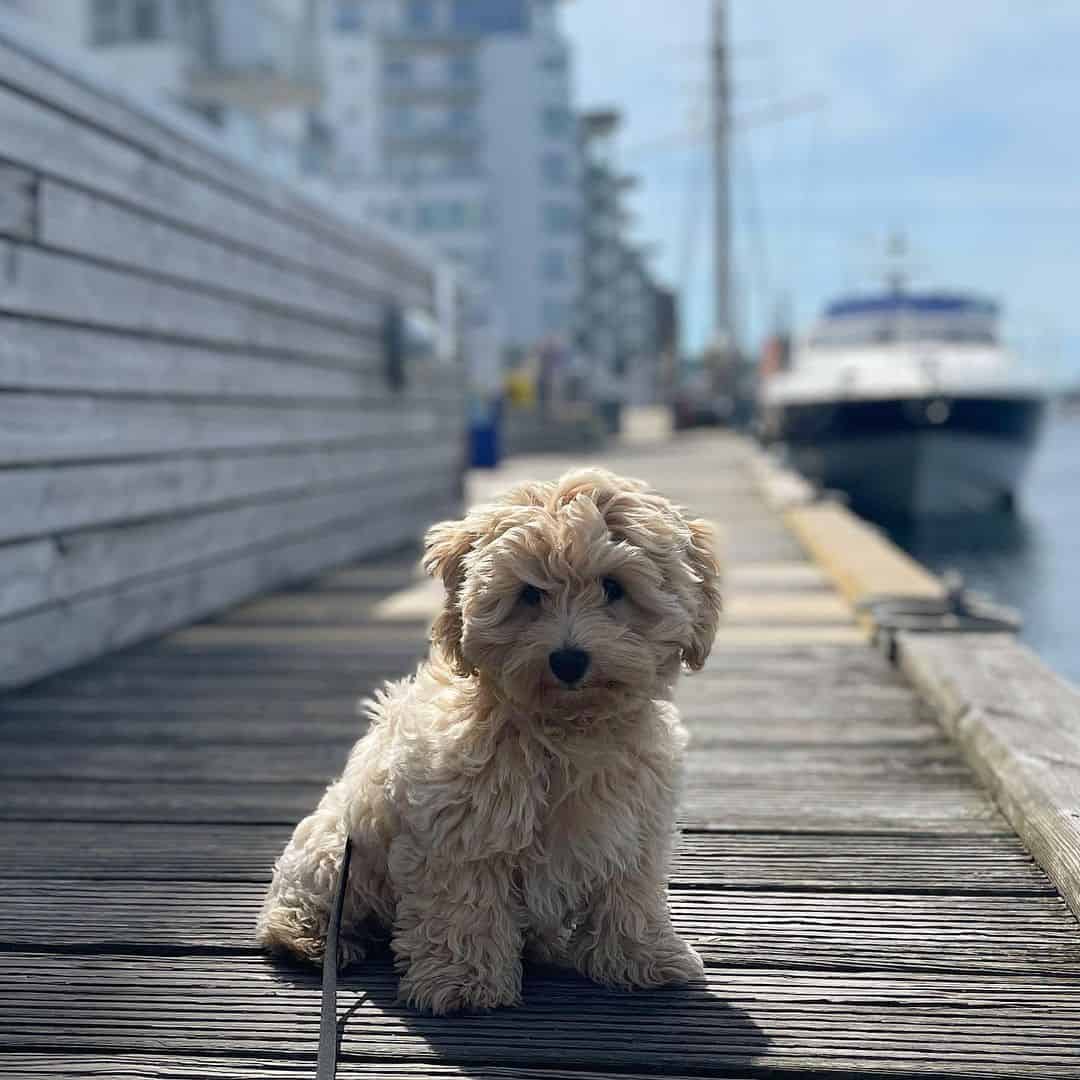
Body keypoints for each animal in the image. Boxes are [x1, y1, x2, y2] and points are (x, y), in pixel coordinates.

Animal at [257, 468, 721, 1015]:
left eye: (613, 586)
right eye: (529, 594)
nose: (568, 659)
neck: (565, 731)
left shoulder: (633, 827)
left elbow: (630, 894)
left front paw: (643, 958)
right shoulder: (461, 831)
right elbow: (467, 904)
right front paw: (464, 983)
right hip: (336, 852)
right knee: (308, 901)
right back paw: (308, 939)